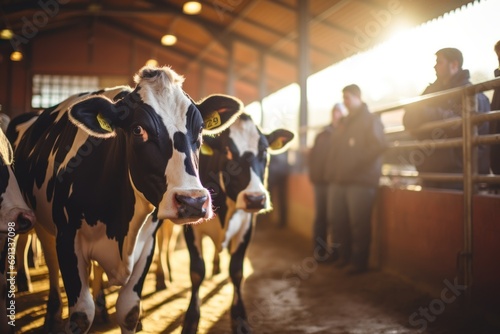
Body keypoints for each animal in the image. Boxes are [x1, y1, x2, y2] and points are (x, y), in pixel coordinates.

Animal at [5, 66, 243, 334]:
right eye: (138, 130)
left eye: (200, 130)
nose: (193, 202)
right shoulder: (67, 238)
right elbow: (80, 315)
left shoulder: (147, 244)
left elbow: (128, 312)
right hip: (42, 225)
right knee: (49, 258)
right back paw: (51, 310)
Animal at [182, 113, 294, 334]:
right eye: (227, 151)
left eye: (264, 150)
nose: (255, 199)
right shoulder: (190, 225)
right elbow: (197, 271)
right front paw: (191, 317)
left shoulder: (247, 226)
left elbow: (237, 271)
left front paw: (239, 317)